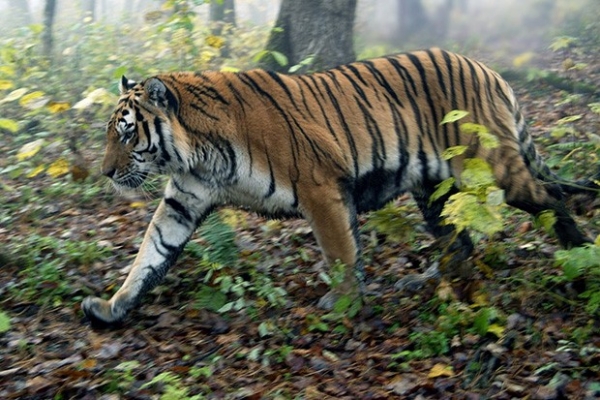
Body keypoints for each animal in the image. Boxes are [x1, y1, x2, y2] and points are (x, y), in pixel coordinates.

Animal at [81, 48, 600, 326]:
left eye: (126, 133)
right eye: (110, 133)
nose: (105, 173)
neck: (197, 153)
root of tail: (489, 70)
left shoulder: (320, 187)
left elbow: (339, 250)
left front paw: (344, 302)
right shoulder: (182, 201)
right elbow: (150, 255)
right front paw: (112, 307)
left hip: (492, 167)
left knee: (551, 199)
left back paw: (582, 262)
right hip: (433, 189)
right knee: (459, 239)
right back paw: (430, 281)